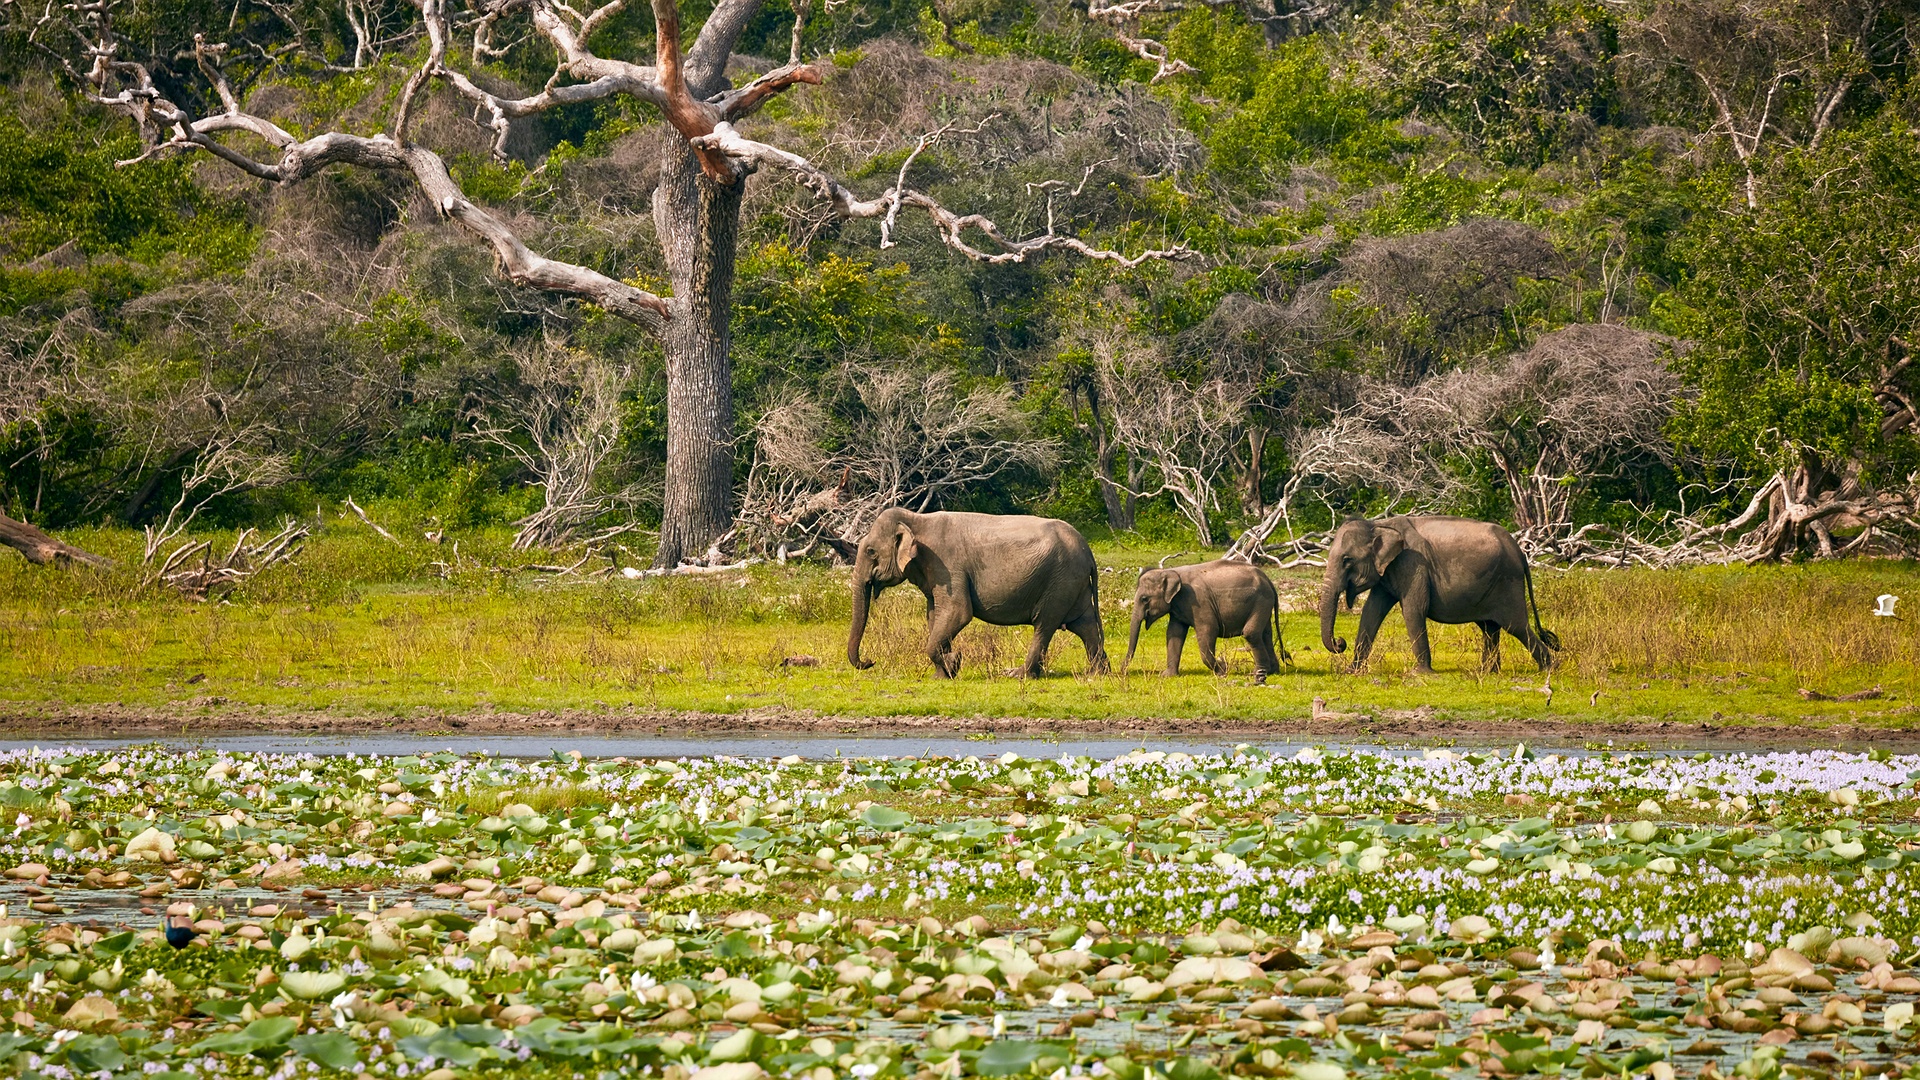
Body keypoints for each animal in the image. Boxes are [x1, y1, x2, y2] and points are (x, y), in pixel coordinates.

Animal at [847, 508, 1110, 679]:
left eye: (870, 551)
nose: (870, 661)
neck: (915, 519)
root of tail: (1088, 552)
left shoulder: (947, 565)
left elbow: (958, 612)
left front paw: (954, 663)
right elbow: (934, 615)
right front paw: (943, 674)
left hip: (1059, 582)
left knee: (1045, 624)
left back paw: (1017, 674)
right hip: (1073, 583)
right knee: (1084, 624)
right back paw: (1097, 673)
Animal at [1122, 559, 1290, 680]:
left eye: (1144, 599)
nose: (1122, 670)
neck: (1170, 571)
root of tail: (1268, 580)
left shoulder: (1198, 601)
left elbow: (1208, 630)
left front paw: (1223, 670)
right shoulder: (1178, 608)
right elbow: (1174, 634)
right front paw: (1167, 676)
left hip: (1261, 601)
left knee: (1251, 633)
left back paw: (1257, 673)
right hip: (1263, 603)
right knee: (1266, 634)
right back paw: (1272, 671)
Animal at [1318, 515, 1561, 674]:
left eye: (1346, 560)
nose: (1340, 642)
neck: (1378, 524)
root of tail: (1520, 552)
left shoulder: (1412, 564)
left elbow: (1413, 609)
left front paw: (1420, 674)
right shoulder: (1388, 571)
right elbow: (1371, 612)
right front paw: (1352, 672)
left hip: (1508, 582)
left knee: (1515, 626)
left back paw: (1549, 669)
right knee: (1490, 628)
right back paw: (1487, 672)